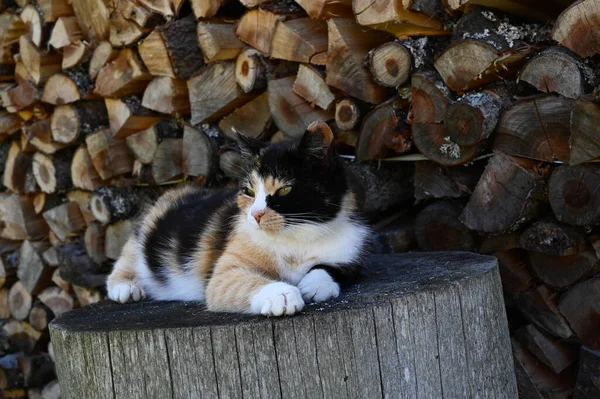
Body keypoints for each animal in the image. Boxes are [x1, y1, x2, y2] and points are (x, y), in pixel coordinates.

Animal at [107, 123, 370, 318]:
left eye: (284, 190)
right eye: (249, 191)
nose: (256, 214)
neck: (298, 237)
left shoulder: (352, 250)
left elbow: (335, 268)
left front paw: (315, 284)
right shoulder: (224, 271)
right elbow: (236, 281)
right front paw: (282, 295)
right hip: (145, 233)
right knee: (126, 260)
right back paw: (126, 288)